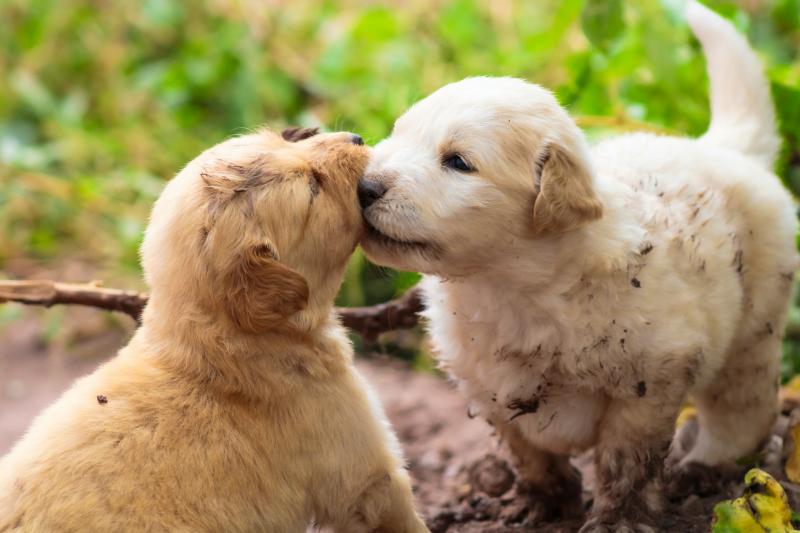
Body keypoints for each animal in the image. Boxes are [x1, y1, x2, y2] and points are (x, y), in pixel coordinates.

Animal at [360, 3, 796, 528]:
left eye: (458, 162)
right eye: (396, 134)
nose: (364, 187)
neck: (508, 286)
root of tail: (724, 148)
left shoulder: (650, 381)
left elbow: (624, 461)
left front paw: (618, 520)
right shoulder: (487, 388)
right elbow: (529, 453)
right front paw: (544, 504)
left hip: (754, 330)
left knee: (742, 412)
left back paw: (704, 469)